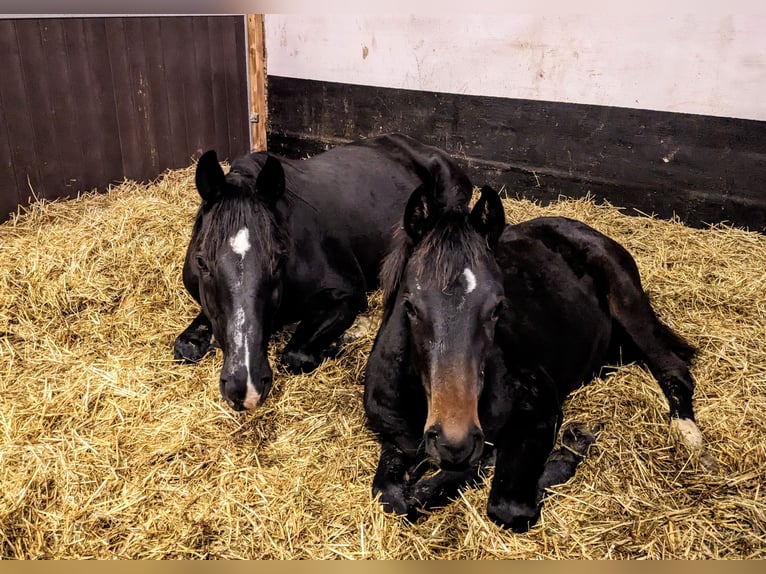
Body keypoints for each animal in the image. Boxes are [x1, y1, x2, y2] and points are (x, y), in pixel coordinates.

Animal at [174, 134, 474, 414]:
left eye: (278, 259)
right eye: (201, 262)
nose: (246, 388)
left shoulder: (346, 295)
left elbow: (295, 355)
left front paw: (337, 343)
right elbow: (186, 345)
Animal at [366, 182, 708, 532]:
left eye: (497, 307)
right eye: (410, 306)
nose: (454, 442)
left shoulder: (540, 409)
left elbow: (508, 506)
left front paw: (568, 451)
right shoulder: (397, 440)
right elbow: (391, 498)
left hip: (630, 305)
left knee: (673, 368)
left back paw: (690, 438)